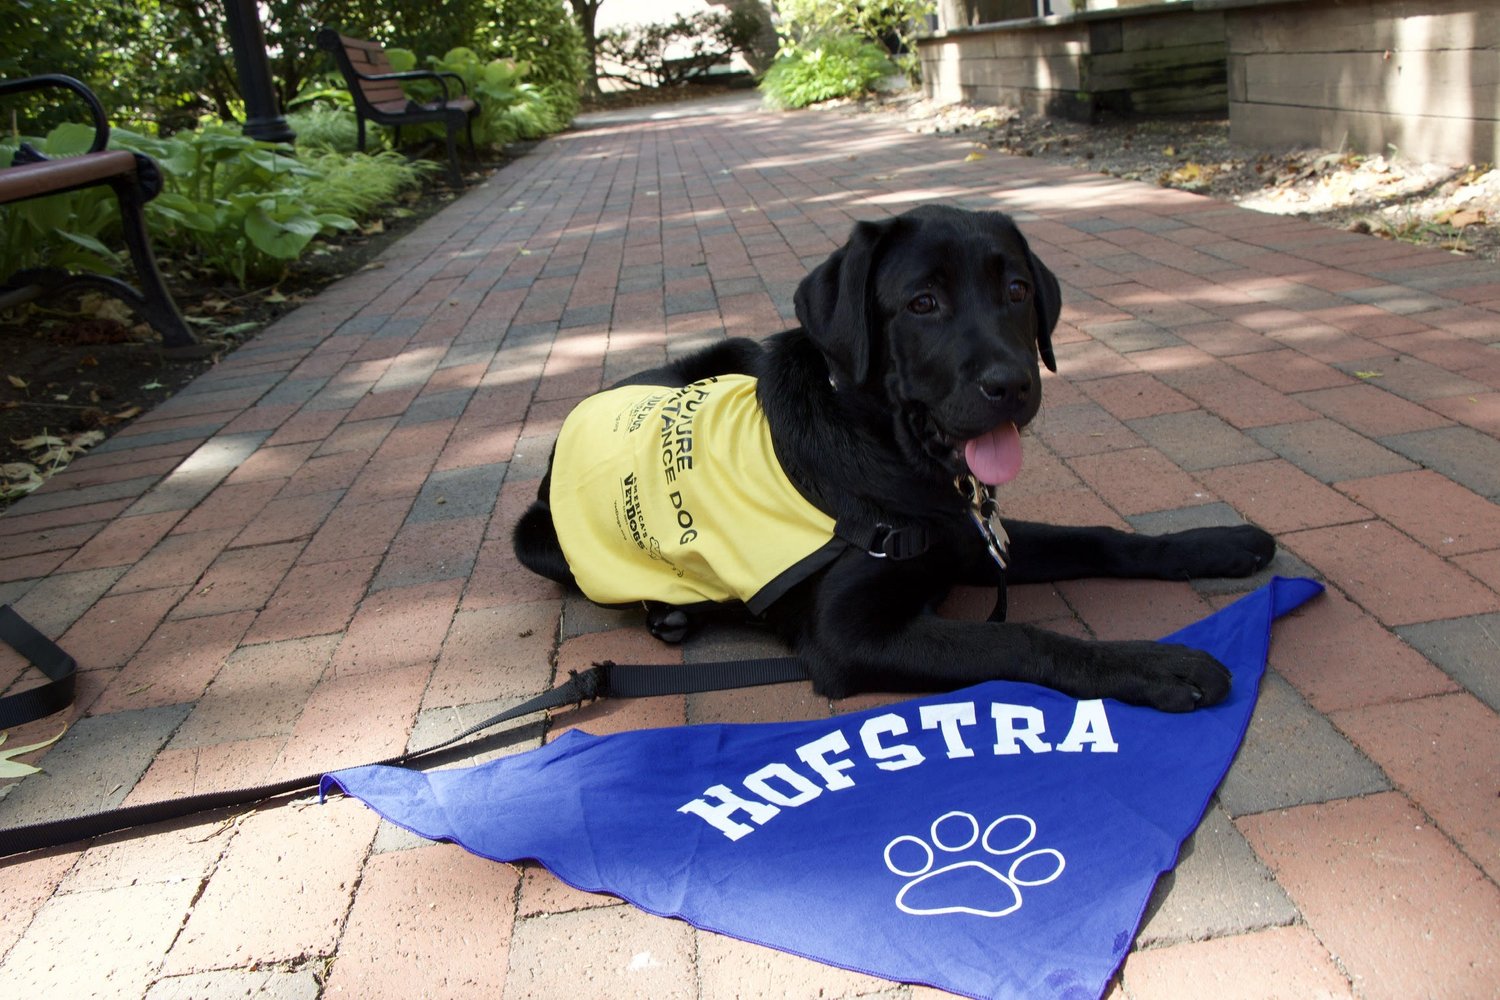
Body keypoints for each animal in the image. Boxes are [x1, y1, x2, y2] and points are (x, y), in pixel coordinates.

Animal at [510, 205, 1272, 710]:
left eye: (1018, 291)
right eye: (922, 303)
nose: (1013, 384)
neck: (888, 454)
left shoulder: (969, 538)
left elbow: (1101, 538)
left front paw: (1219, 543)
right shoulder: (848, 637)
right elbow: (1020, 640)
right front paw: (1159, 667)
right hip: (538, 541)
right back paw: (668, 612)